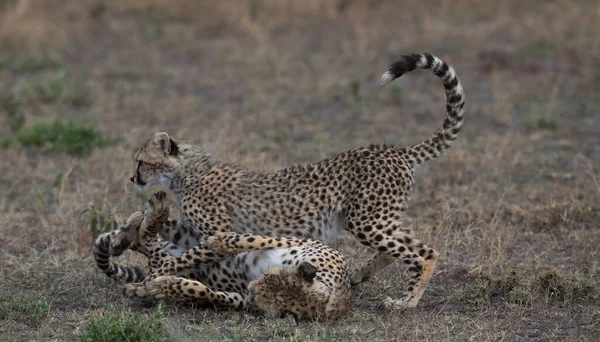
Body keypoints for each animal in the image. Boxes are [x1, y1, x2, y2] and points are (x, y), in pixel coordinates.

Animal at [94, 192, 352, 320]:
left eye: (266, 295)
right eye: (270, 277)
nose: (251, 286)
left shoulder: (243, 301)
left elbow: (205, 292)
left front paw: (163, 286)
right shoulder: (292, 240)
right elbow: (247, 240)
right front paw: (220, 241)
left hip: (166, 248)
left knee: (148, 244)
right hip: (186, 235)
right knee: (151, 234)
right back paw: (135, 226)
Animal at [127, 52, 464, 308]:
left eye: (141, 161)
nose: (132, 178)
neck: (185, 174)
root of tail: (396, 150)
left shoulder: (219, 232)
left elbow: (192, 255)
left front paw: (161, 271)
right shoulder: (195, 230)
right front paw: (137, 225)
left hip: (367, 220)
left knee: (422, 254)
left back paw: (406, 302)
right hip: (378, 219)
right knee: (411, 247)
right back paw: (360, 276)